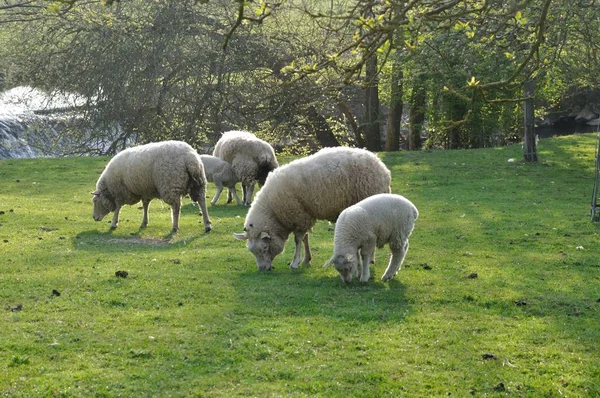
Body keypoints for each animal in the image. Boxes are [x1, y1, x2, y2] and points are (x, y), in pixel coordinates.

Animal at [232, 146, 392, 270]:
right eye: (252, 251)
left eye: (264, 248)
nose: (263, 269)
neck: (274, 211)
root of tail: (382, 167)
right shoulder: (304, 215)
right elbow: (305, 239)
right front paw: (306, 260)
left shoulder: (298, 215)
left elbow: (298, 240)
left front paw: (295, 263)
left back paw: (370, 258)